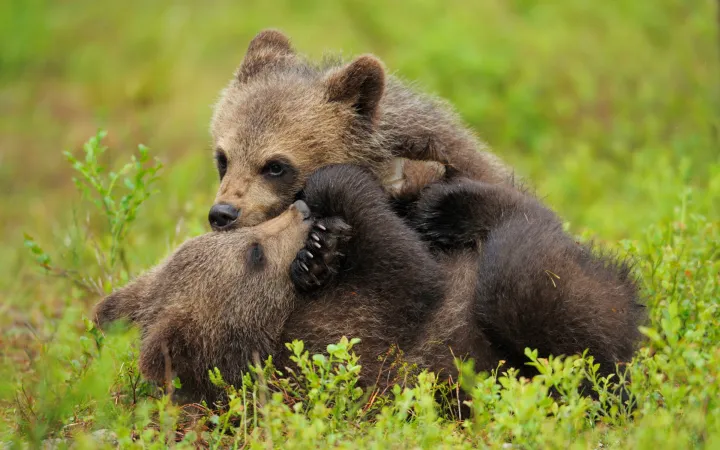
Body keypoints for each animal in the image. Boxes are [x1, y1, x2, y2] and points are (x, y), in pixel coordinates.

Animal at [94, 164, 644, 404]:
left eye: (241, 238)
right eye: (253, 256)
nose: (299, 210)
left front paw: (324, 245)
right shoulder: (351, 337)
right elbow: (408, 275)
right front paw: (329, 205)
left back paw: (447, 204)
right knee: (529, 283)